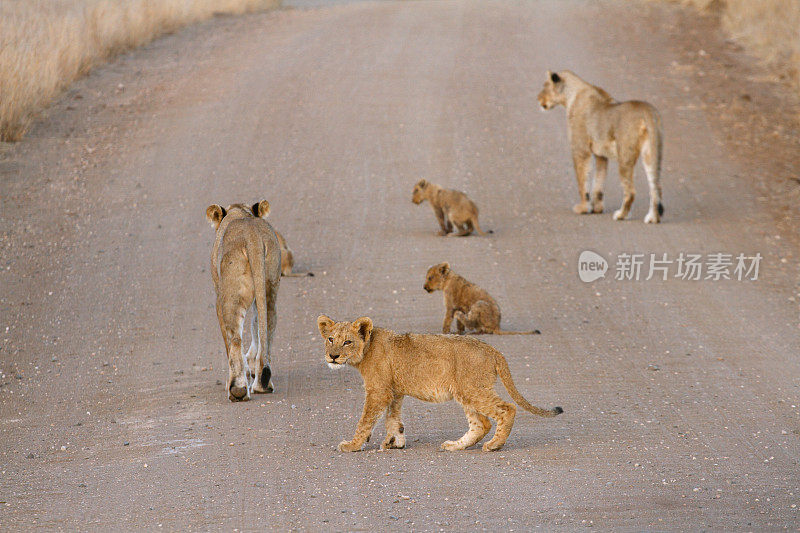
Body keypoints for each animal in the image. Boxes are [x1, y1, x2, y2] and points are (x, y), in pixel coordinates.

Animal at [206, 202, 282, 402]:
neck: (239, 211)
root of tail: (253, 237)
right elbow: (257, 326)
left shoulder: (219, 296)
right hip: (270, 286)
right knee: (267, 329)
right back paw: (262, 385)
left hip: (232, 295)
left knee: (234, 338)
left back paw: (237, 389)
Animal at [316, 314, 560, 450]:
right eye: (330, 339)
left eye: (347, 342)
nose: (333, 356)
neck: (367, 349)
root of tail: (493, 350)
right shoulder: (394, 391)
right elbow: (393, 419)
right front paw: (394, 442)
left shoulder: (378, 391)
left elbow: (366, 421)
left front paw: (352, 445)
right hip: (466, 392)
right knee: (481, 424)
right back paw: (455, 446)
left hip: (472, 389)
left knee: (507, 409)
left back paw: (494, 446)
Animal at [540, 69, 664, 222]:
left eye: (545, 86)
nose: (538, 99)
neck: (571, 96)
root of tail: (647, 110)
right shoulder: (601, 155)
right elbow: (598, 182)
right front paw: (596, 208)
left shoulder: (580, 150)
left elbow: (583, 181)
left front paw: (583, 208)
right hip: (651, 153)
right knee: (656, 188)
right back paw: (653, 218)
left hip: (625, 156)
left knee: (631, 191)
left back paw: (621, 215)